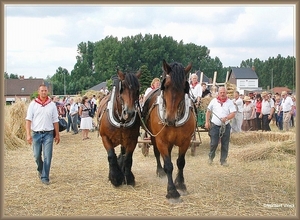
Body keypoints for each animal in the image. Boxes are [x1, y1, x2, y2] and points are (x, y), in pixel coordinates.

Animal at [143, 59, 197, 202]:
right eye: (165, 86)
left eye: (184, 87)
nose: (170, 118)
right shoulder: (161, 140)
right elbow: (168, 165)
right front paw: (172, 191)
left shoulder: (185, 141)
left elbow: (180, 162)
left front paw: (180, 184)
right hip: (153, 137)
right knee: (157, 153)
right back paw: (160, 171)